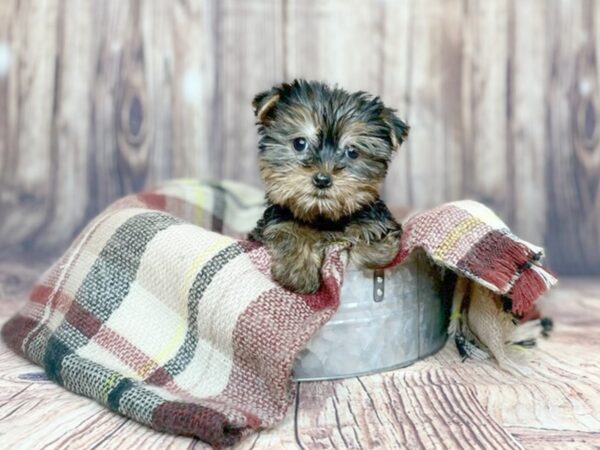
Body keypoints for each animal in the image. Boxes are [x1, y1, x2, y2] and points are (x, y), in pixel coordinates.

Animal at [247, 79, 408, 294]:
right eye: (300, 143)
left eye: (352, 151)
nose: (322, 179)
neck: (323, 217)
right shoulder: (276, 221)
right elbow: (287, 230)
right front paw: (298, 271)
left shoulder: (378, 220)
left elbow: (371, 242)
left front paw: (370, 252)